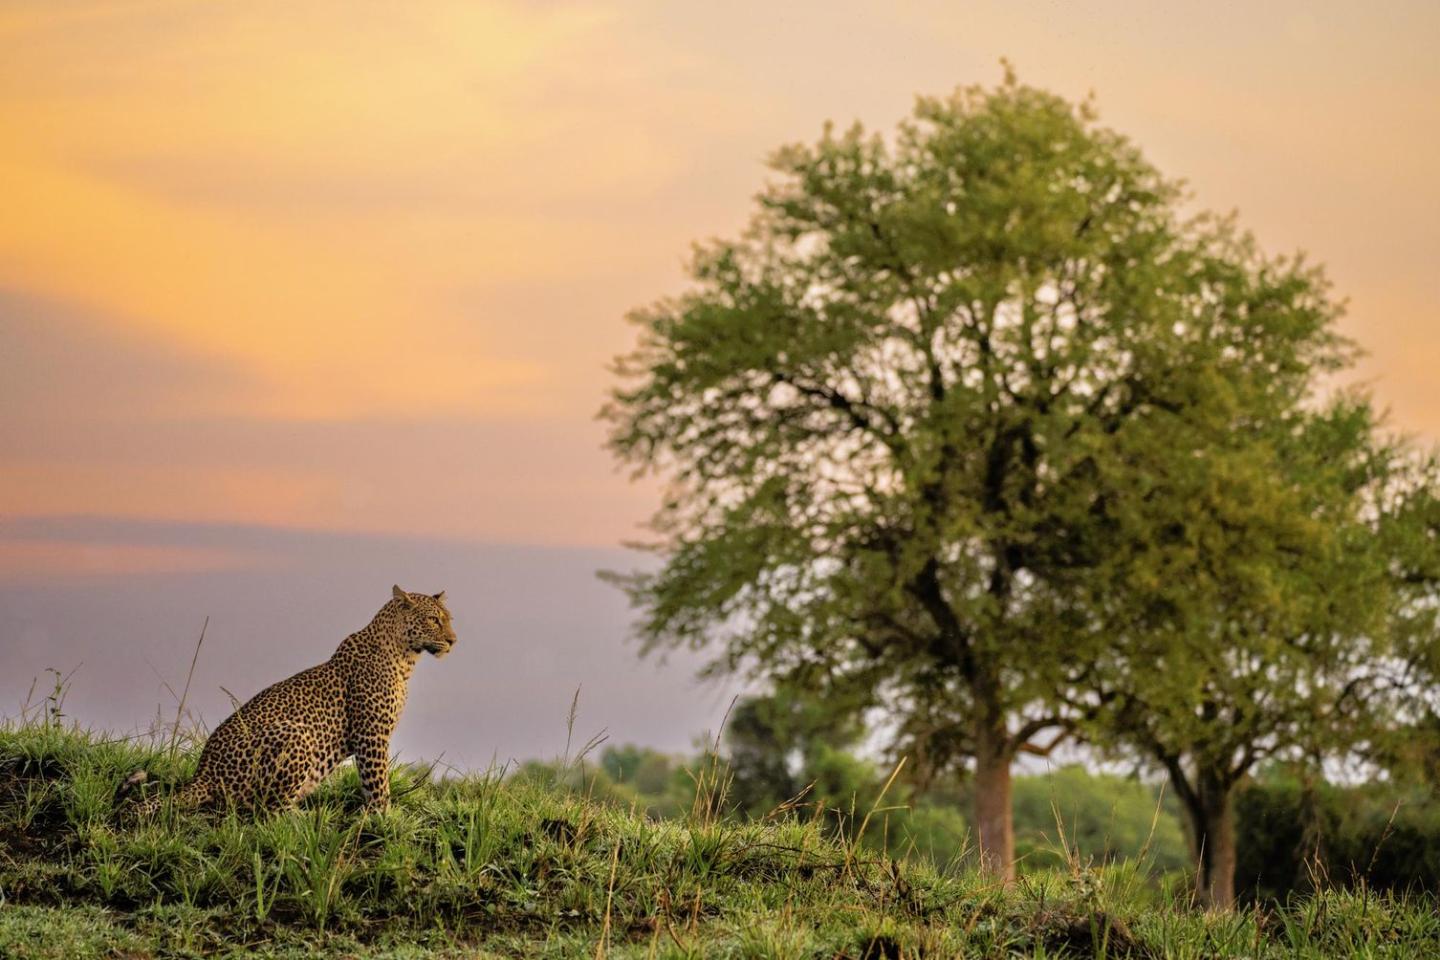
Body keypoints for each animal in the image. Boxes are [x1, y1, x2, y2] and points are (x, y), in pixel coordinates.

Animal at [118, 585, 456, 816]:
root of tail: (203, 775)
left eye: (448, 620)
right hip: (295, 734)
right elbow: (378, 780)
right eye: (433, 620)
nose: (454, 640)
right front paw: (383, 816)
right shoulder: (371, 734)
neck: (405, 659)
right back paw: (303, 817)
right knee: (265, 810)